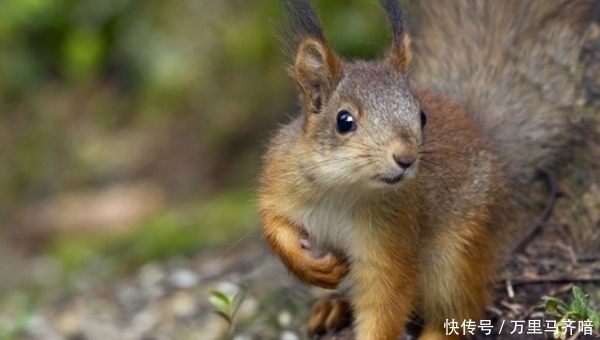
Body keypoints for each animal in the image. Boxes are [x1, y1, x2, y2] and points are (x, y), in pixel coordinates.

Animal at [256, 0, 596, 340]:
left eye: (421, 116)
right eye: (343, 121)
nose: (406, 158)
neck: (344, 187)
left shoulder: (393, 233)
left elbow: (387, 298)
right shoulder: (281, 178)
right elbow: (274, 224)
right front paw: (310, 266)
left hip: (453, 258)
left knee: (460, 310)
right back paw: (334, 305)